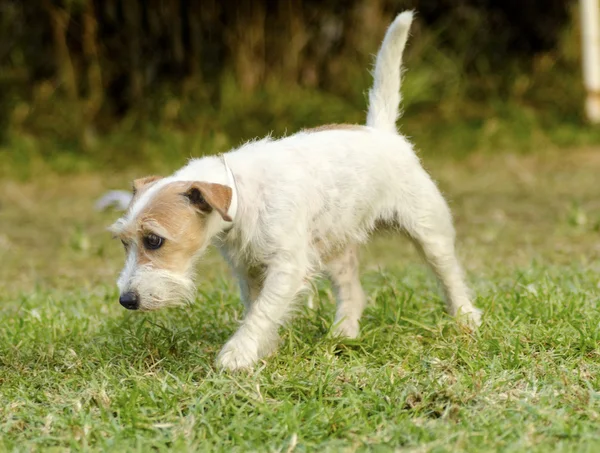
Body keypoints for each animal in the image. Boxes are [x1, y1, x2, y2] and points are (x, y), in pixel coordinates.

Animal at [109, 11, 482, 370]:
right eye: (125, 242)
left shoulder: (286, 267)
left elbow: (262, 312)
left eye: (153, 240)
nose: (126, 301)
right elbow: (257, 309)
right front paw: (263, 349)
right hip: (335, 249)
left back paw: (466, 318)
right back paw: (344, 333)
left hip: (428, 231)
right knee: (353, 291)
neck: (240, 195)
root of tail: (382, 131)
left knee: (449, 274)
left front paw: (238, 354)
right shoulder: (248, 272)